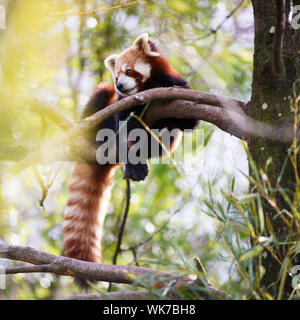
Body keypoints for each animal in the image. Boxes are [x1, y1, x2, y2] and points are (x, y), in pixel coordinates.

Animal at [63, 33, 197, 288]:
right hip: (101, 103)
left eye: (129, 70)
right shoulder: (123, 104)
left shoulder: (182, 93)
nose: (119, 85)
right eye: (116, 76)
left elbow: (187, 121)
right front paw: (133, 162)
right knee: (100, 96)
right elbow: (124, 129)